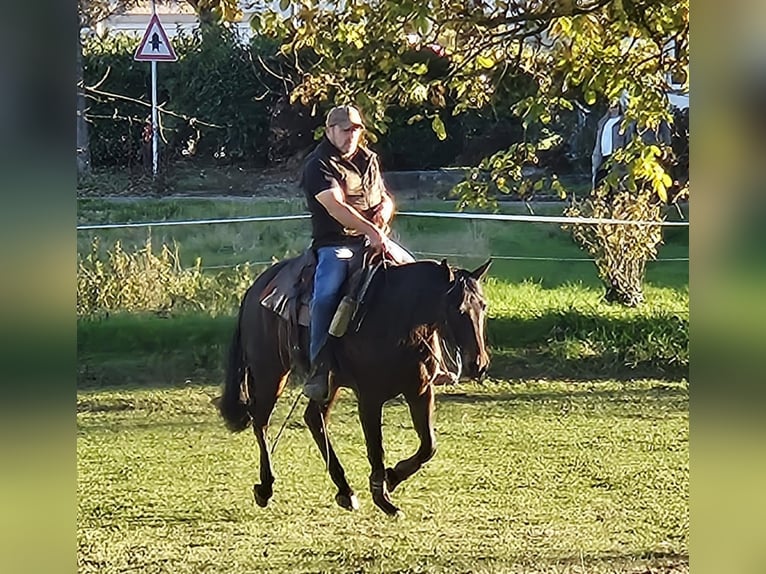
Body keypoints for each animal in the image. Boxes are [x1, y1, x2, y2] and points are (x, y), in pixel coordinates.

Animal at [218, 258, 492, 516]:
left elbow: (428, 446)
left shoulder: (420, 391)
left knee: (313, 419)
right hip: (270, 372)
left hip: (328, 383)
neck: (401, 318)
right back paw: (265, 488)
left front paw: (392, 478)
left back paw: (345, 490)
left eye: (483, 306)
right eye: (456, 308)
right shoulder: (369, 397)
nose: (478, 364)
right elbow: (376, 448)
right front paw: (384, 499)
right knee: (261, 421)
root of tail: (255, 289)